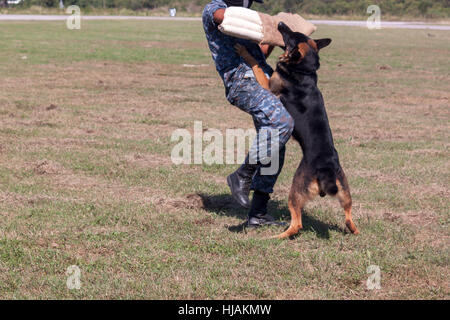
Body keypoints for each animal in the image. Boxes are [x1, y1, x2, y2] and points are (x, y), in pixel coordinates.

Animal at [236, 21, 358, 238]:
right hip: (345, 190)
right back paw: (354, 229)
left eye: (291, 36)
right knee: (348, 215)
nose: (281, 23)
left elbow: (256, 65)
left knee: (297, 224)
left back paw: (277, 236)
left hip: (295, 191)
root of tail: (325, 168)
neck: (305, 71)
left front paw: (244, 50)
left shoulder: (269, 87)